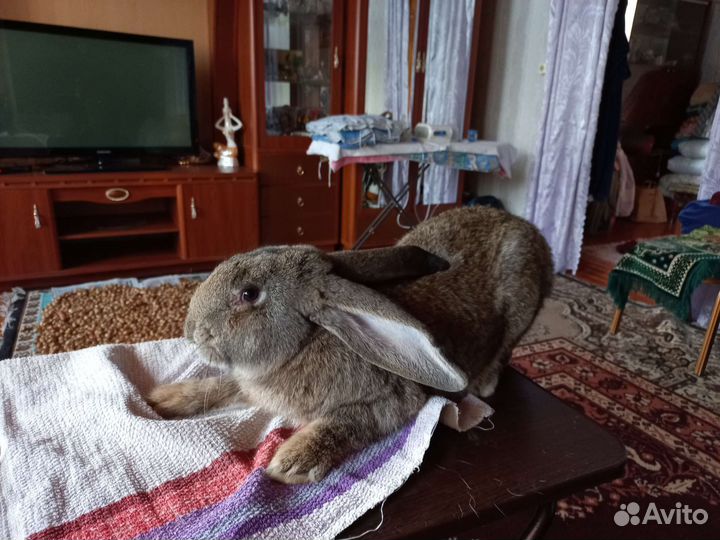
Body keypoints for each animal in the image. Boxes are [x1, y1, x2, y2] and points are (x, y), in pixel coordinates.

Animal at [146, 206, 554, 484]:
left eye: (249, 294)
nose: (190, 330)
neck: (307, 340)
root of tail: (528, 229)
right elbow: (220, 385)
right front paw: (164, 399)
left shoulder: (391, 400)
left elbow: (348, 421)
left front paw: (294, 461)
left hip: (521, 306)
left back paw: (484, 382)